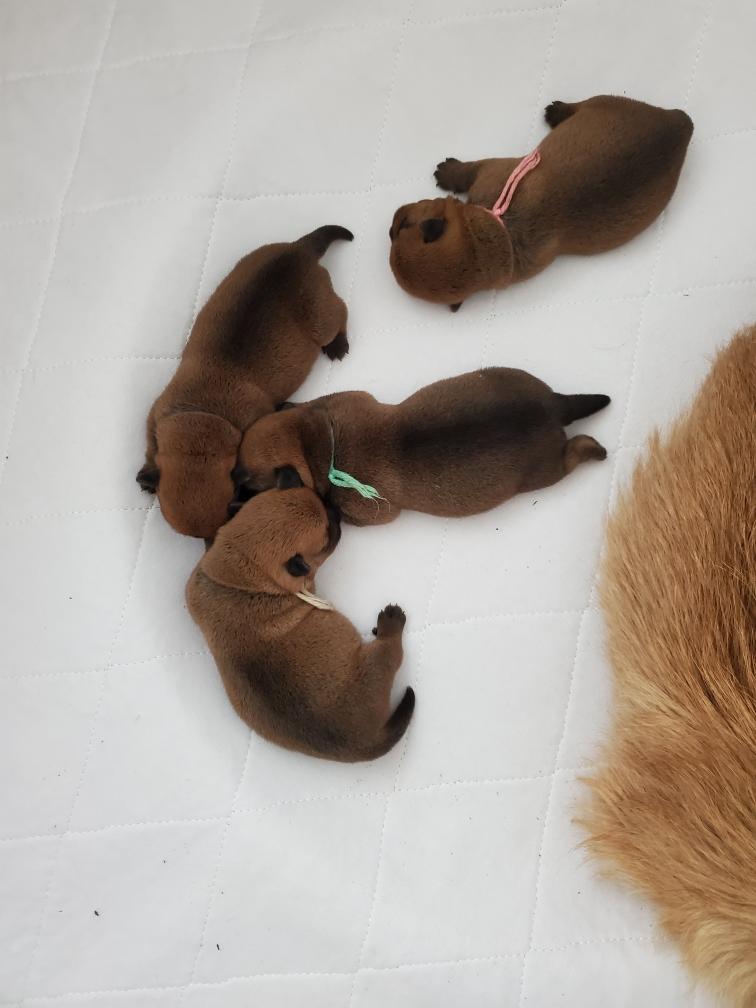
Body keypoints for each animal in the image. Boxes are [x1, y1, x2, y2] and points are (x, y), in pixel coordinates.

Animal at [136, 225, 353, 539]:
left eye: (229, 511)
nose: (210, 543)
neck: (203, 416)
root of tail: (299, 250)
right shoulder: (155, 417)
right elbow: (150, 448)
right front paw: (146, 475)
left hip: (322, 317)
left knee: (342, 312)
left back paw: (338, 344)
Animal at [186, 476, 414, 762]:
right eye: (326, 537)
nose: (334, 510)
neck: (242, 575)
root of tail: (363, 743)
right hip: (374, 664)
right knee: (390, 651)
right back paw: (391, 622)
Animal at [233, 368, 610, 526]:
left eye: (250, 480)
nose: (231, 477)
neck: (321, 444)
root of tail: (552, 406)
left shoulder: (370, 513)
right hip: (512, 375)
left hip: (546, 471)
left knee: (572, 454)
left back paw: (592, 448)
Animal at [389, 95, 693, 310]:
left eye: (403, 225)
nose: (389, 228)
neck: (494, 235)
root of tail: (682, 126)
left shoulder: (490, 170)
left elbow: (468, 170)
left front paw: (447, 171)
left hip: (603, 102)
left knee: (580, 105)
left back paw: (556, 111)